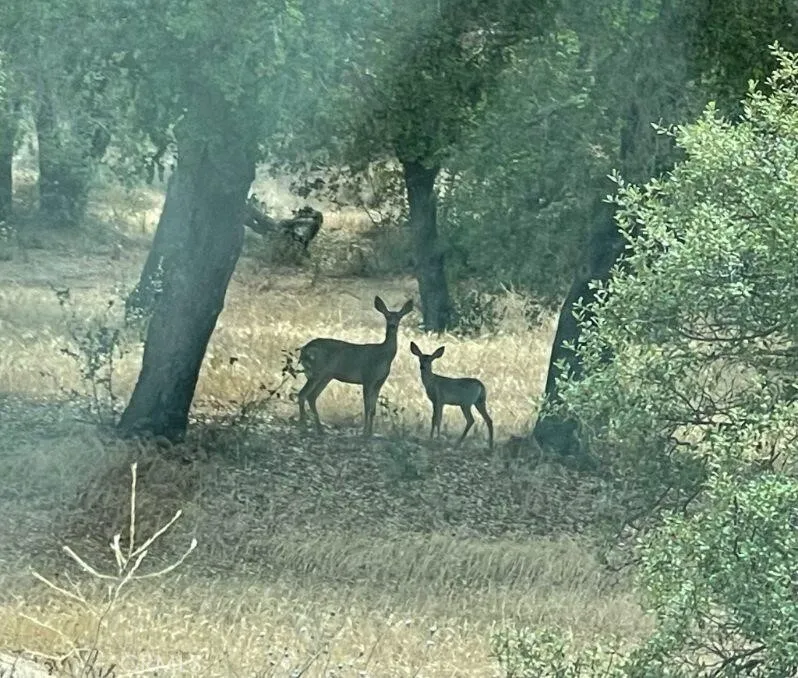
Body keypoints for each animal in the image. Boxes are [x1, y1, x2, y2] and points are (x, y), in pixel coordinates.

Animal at [298, 296, 414, 436]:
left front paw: (370, 433)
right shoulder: (367, 378)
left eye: (399, 317)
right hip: (317, 371)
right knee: (302, 394)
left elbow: (373, 409)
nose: (392, 325)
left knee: (311, 396)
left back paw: (320, 430)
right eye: (387, 316)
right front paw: (364, 433)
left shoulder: (379, 381)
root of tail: (304, 350)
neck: (383, 356)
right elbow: (367, 407)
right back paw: (304, 427)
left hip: (326, 375)